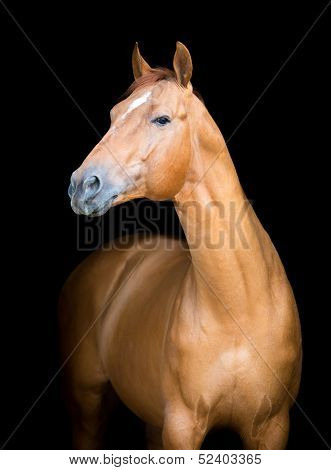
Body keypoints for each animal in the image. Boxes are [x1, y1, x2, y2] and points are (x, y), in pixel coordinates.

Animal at [58, 42, 302, 450]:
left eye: (162, 120)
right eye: (113, 116)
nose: (83, 184)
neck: (238, 306)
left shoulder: (271, 428)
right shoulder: (182, 428)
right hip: (86, 400)